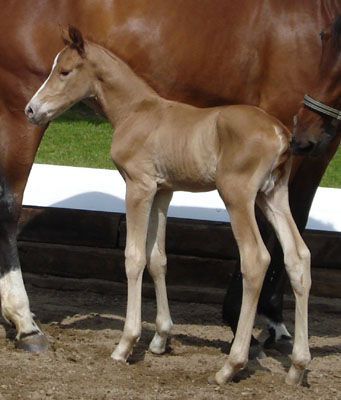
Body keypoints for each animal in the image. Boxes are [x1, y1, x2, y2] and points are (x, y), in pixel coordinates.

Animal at [0, 0, 338, 352]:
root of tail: (280, 133)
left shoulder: (139, 186)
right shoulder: (163, 191)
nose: (32, 109)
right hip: (271, 195)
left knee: (258, 258)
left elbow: (135, 257)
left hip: (239, 196)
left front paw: (127, 342)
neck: (138, 111)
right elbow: (158, 258)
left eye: (64, 71)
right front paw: (161, 336)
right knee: (298, 255)